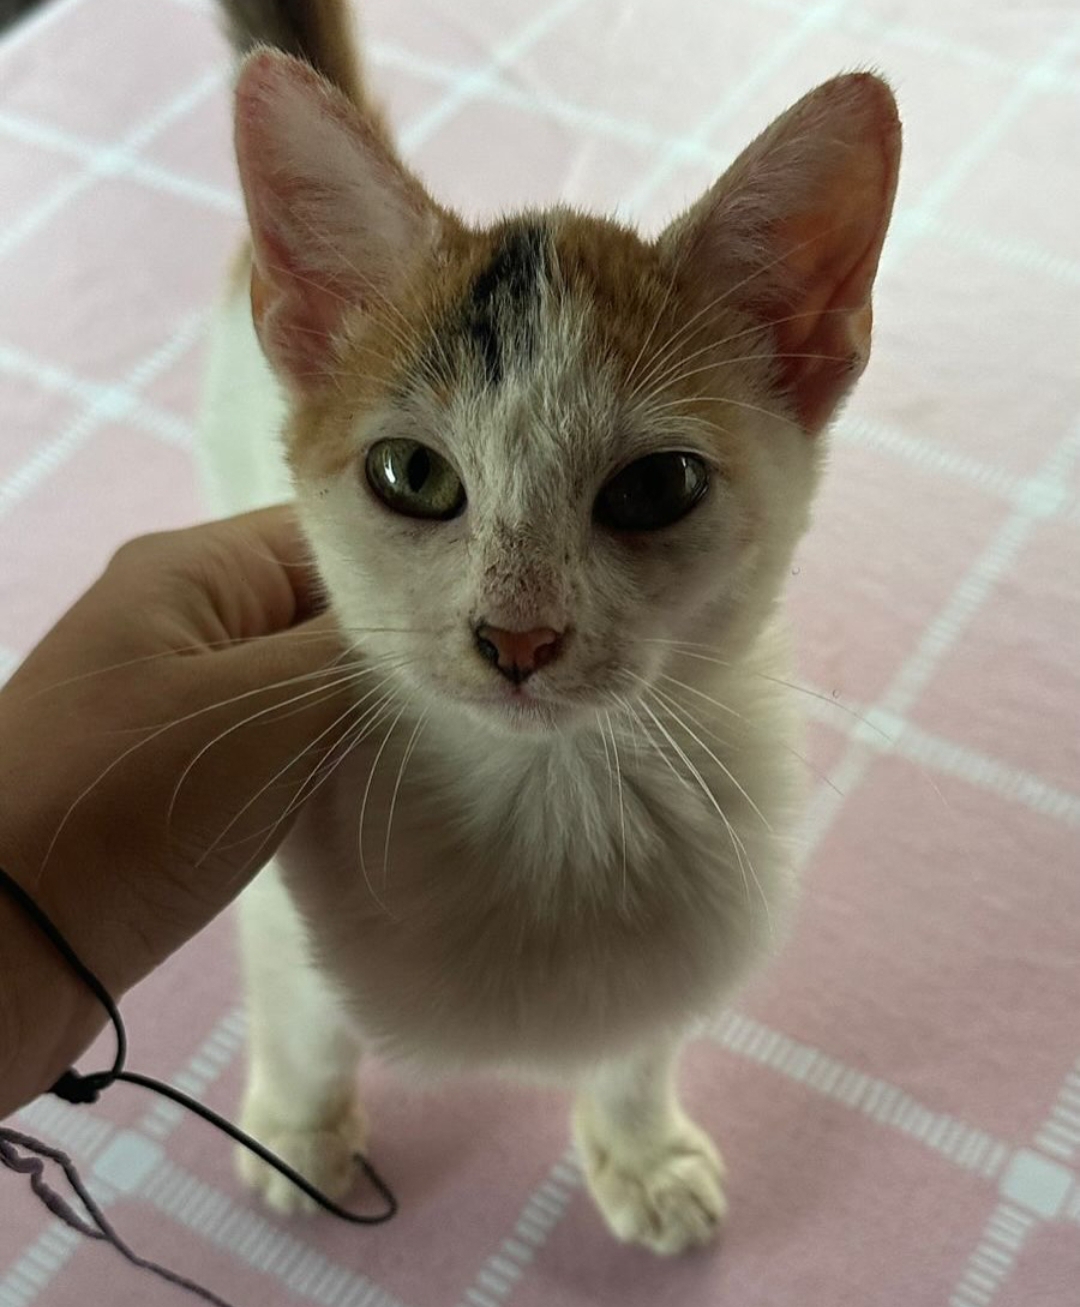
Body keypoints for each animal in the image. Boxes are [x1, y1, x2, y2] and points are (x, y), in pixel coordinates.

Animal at [199, 0, 900, 1255]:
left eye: (657, 486)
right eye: (412, 473)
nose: (517, 638)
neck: (549, 800)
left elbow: (639, 1045)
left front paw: (643, 1150)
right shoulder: (278, 900)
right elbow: (299, 1013)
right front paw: (296, 1128)